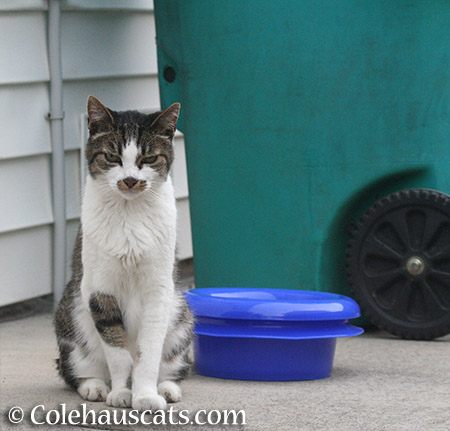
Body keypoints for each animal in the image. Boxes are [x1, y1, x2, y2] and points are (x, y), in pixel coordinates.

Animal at [54, 94, 193, 412]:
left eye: (149, 159)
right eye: (112, 157)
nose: (130, 180)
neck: (130, 214)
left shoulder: (159, 290)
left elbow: (147, 352)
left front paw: (145, 396)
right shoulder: (99, 290)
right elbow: (117, 353)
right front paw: (121, 393)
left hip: (181, 315)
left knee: (173, 366)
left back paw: (166, 388)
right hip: (70, 316)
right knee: (74, 369)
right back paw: (94, 386)